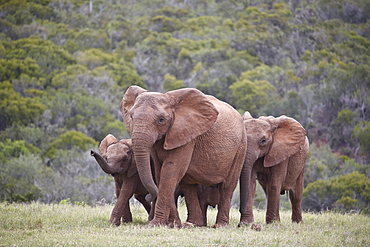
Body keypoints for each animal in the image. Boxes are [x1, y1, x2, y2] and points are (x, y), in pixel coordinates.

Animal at [121, 85, 247, 228]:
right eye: (131, 116)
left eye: (161, 120)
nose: (147, 196)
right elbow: (160, 173)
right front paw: (172, 224)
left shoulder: (187, 136)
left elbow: (170, 172)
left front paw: (156, 224)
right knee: (189, 187)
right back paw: (192, 224)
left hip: (240, 147)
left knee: (227, 186)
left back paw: (219, 225)